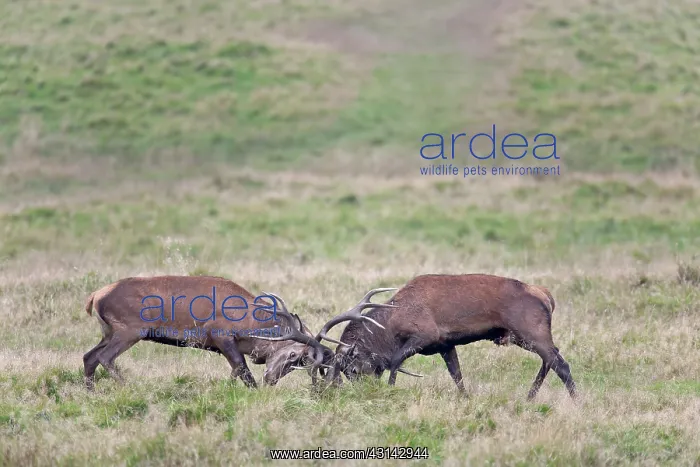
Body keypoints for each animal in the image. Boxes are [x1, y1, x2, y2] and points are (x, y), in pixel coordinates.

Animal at [82, 275, 313, 390]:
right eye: (293, 354)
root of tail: (95, 296)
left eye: (302, 361)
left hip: (108, 333)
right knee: (104, 357)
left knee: (89, 356)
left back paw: (90, 392)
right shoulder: (221, 336)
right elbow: (243, 369)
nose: (271, 380)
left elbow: (235, 370)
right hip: (130, 331)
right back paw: (129, 387)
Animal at [257, 274, 577, 401]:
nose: (363, 391)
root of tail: (546, 296)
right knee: (554, 358)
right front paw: (465, 399)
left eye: (350, 370)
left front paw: (389, 389)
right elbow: (457, 375)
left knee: (560, 363)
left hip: (530, 331)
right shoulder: (446, 345)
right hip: (527, 337)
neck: (390, 326)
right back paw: (531, 396)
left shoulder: (425, 334)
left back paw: (574, 400)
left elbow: (396, 361)